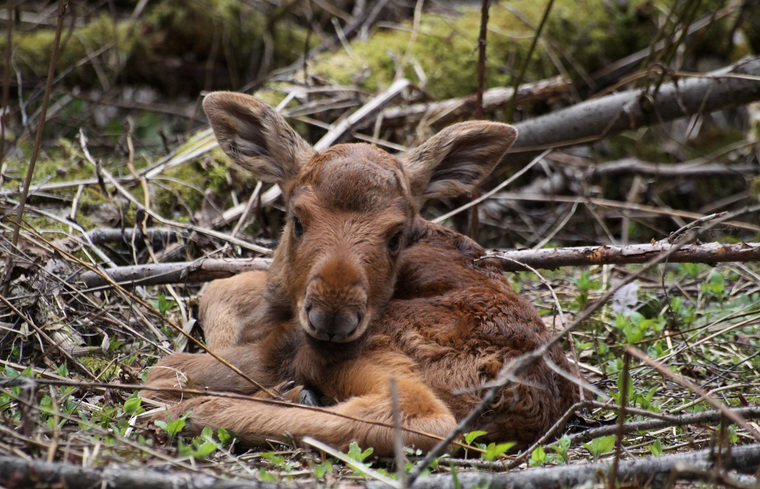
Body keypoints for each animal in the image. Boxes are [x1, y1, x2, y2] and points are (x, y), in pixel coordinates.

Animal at [145, 90, 580, 454]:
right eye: (297, 220)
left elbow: (174, 361)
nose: (332, 317)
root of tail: (519, 401)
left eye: (396, 236)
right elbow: (218, 289)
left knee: (421, 417)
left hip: (369, 347)